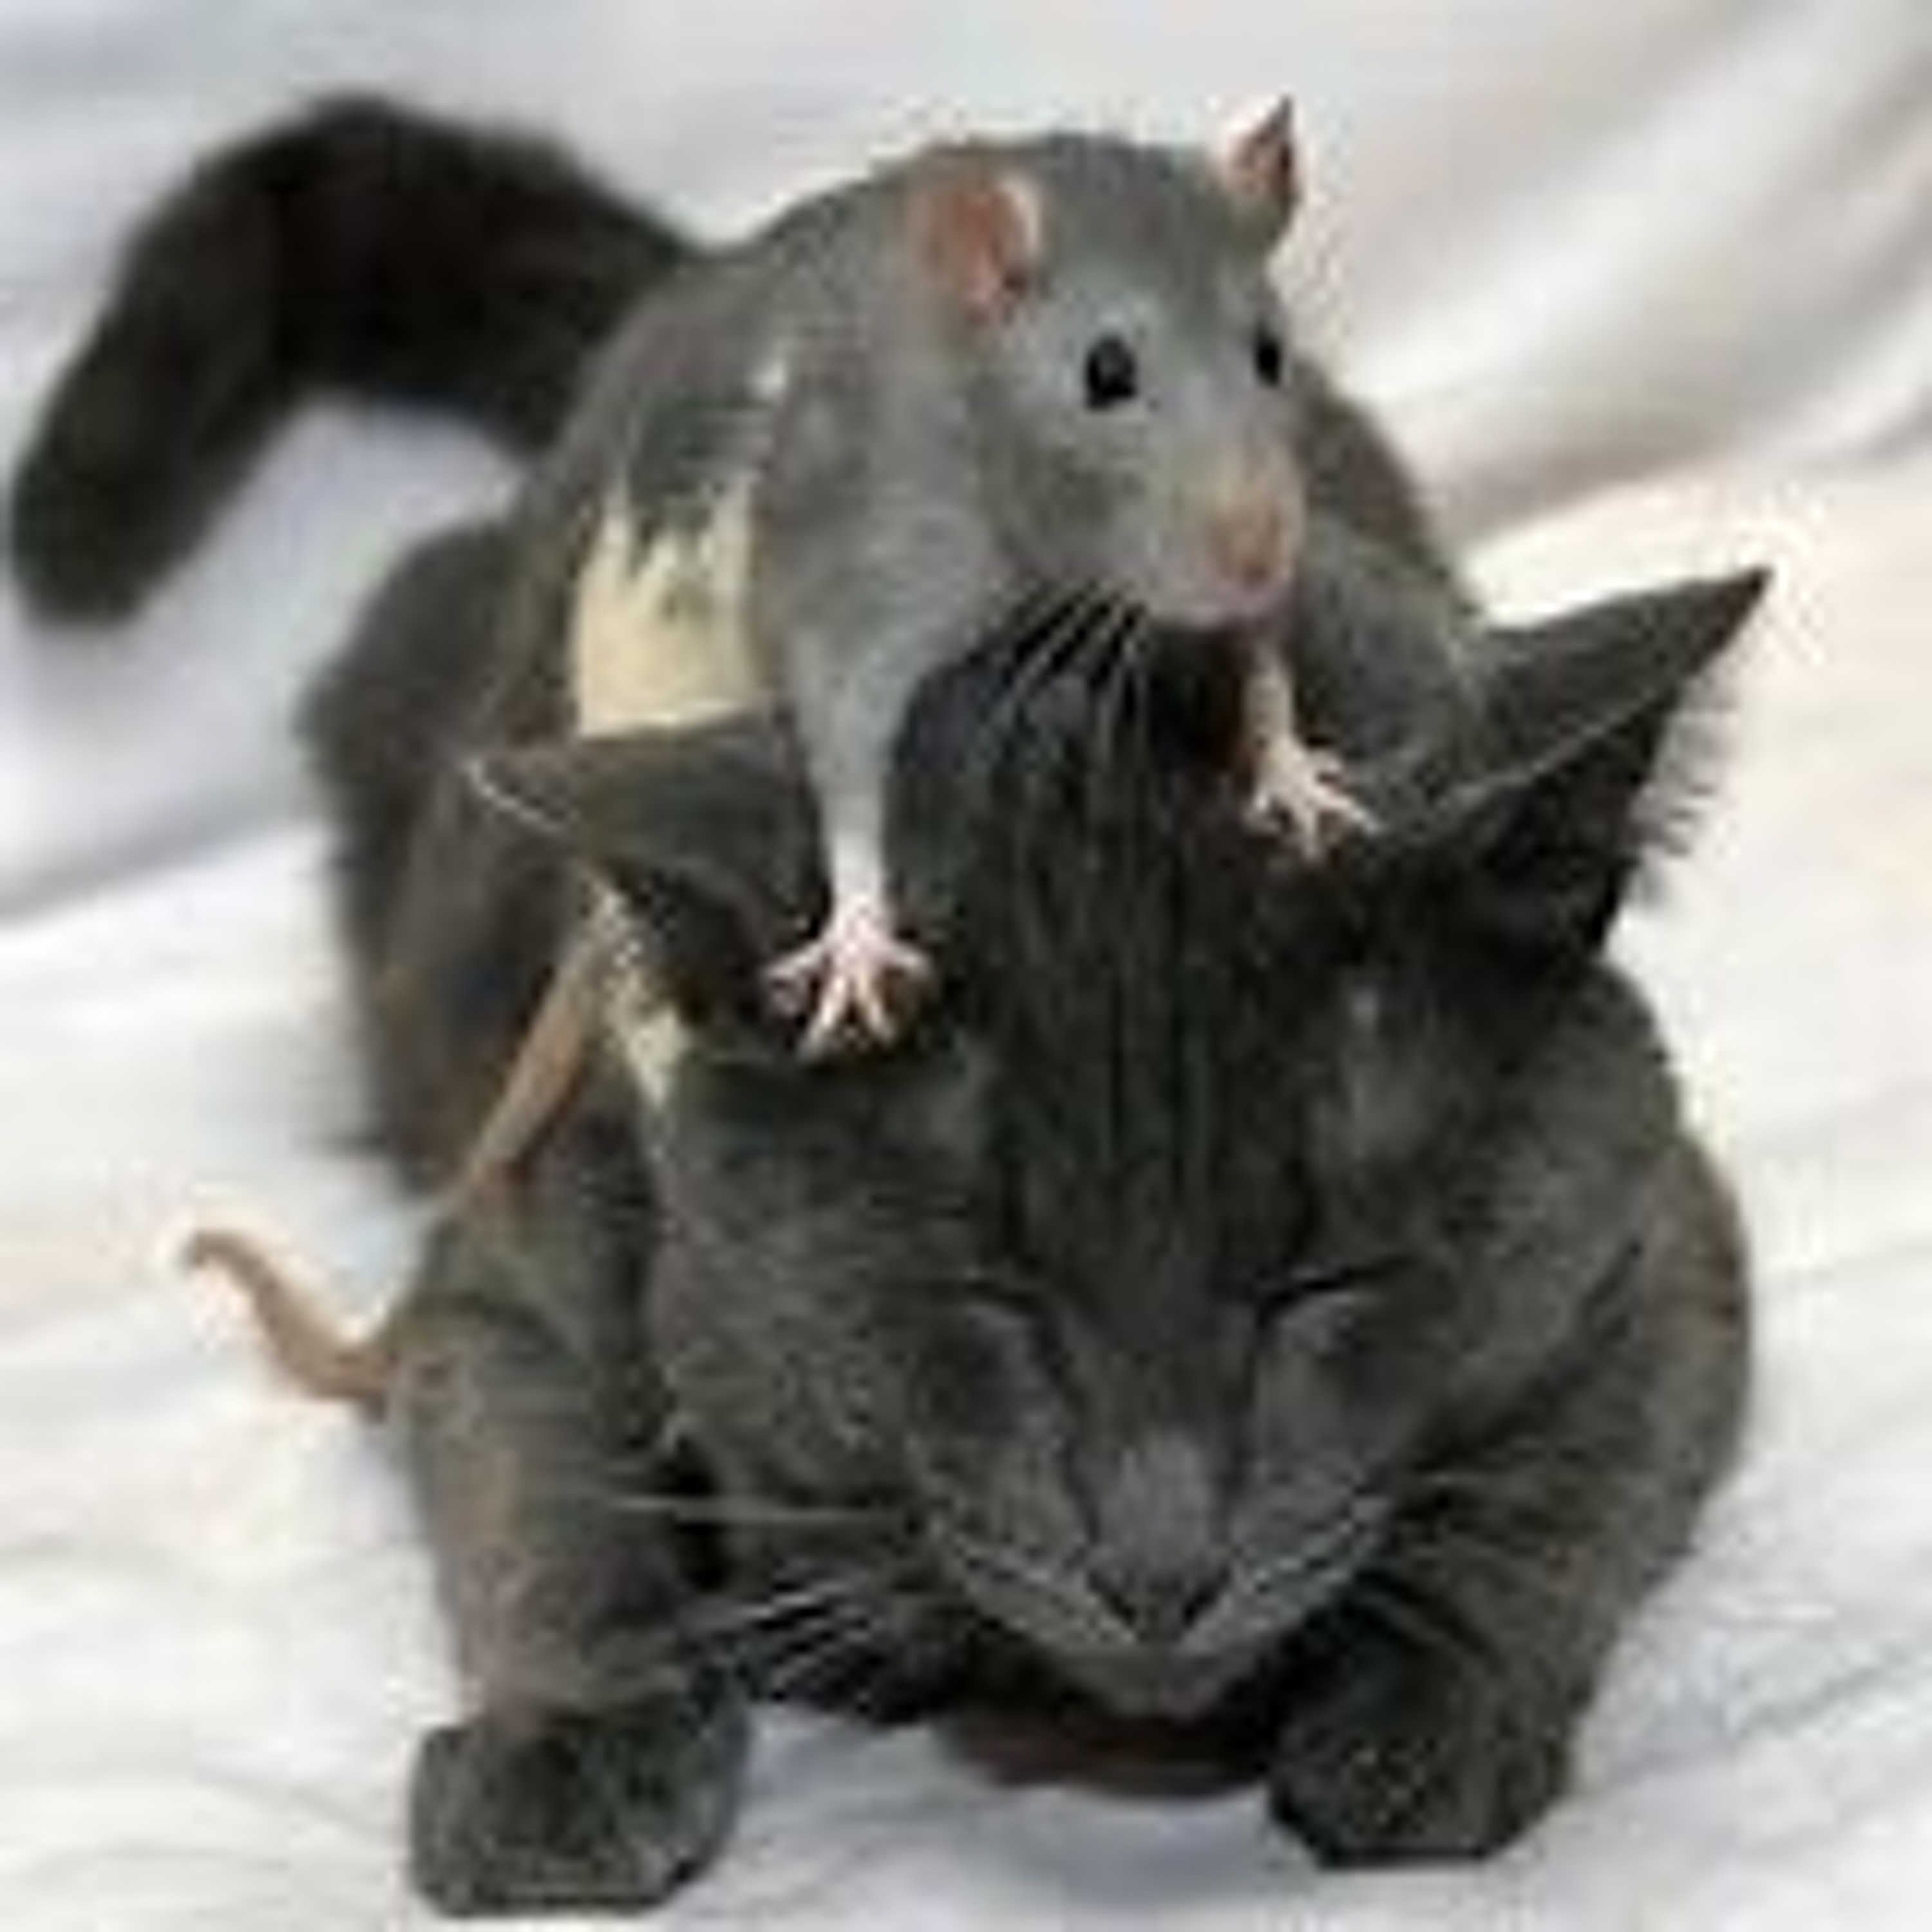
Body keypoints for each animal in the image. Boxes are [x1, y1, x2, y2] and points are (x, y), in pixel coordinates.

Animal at [9, 99, 1764, 1914]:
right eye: (983, 1297)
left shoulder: (1672, 1240)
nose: (1161, 1566)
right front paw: (575, 1746)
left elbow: (1579, 1481)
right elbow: (531, 1485)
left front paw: (1430, 1713)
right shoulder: (514, 1242)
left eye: (1325, 1285)